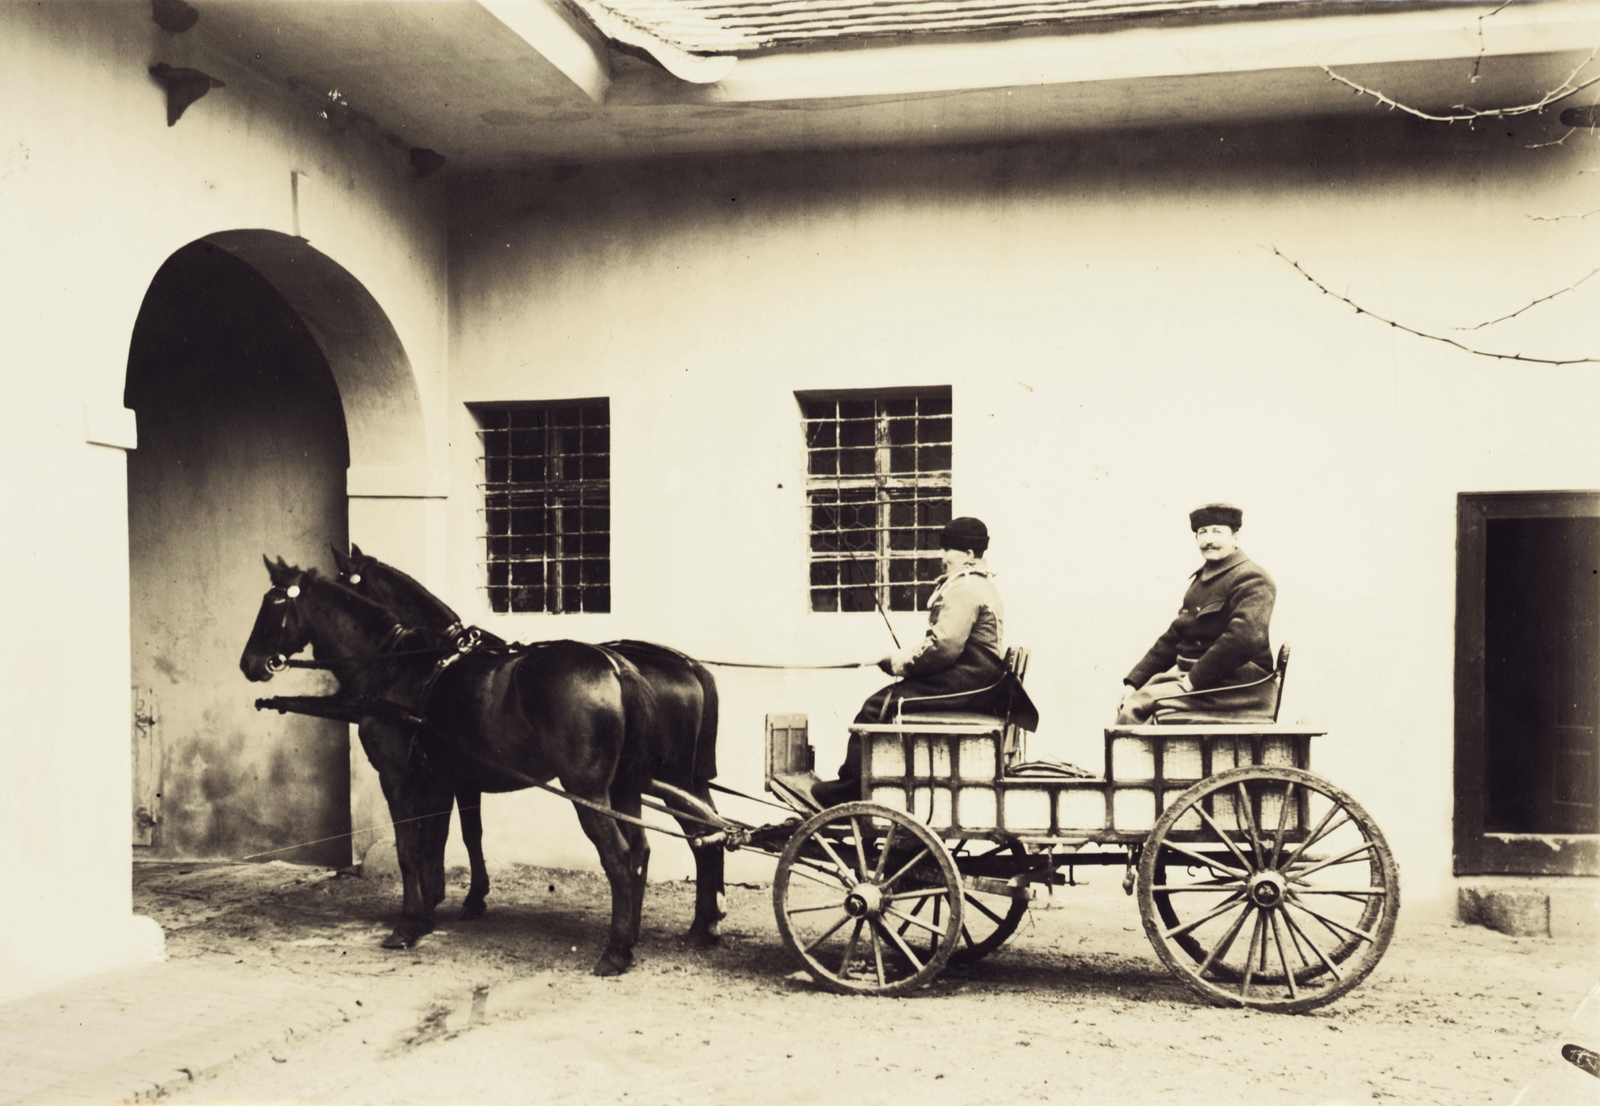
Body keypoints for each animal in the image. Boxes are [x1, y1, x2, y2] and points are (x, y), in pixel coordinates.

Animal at [334, 544, 729, 941]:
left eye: (342, 581)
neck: (435, 661)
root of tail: (688, 666)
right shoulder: (463, 777)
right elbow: (468, 833)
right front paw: (464, 898)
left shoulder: (444, 777)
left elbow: (444, 834)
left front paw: (441, 901)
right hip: (686, 782)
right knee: (710, 836)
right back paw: (705, 921)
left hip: (669, 780)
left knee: (700, 838)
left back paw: (694, 925)